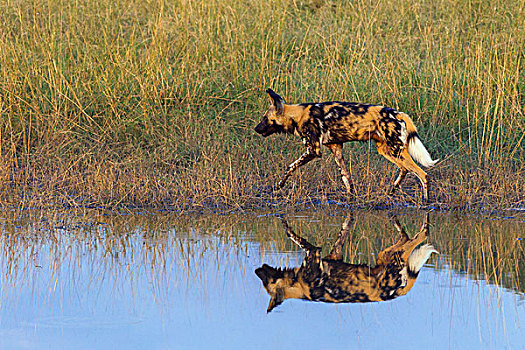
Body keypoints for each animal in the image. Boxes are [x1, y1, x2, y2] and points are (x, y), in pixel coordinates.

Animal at [254, 89, 438, 201]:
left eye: (264, 118)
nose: (255, 129)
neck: (298, 115)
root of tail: (397, 113)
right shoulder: (336, 149)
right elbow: (346, 179)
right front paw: (350, 198)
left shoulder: (313, 150)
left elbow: (289, 168)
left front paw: (279, 186)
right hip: (387, 150)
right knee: (405, 169)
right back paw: (391, 191)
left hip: (395, 151)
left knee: (423, 174)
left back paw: (425, 201)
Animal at [256, 215, 436, 314]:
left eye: (267, 281)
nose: (257, 270)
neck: (298, 285)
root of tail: (400, 292)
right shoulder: (333, 254)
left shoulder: (314, 251)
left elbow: (292, 235)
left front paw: (285, 224)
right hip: (384, 256)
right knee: (408, 238)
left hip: (392, 257)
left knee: (420, 235)